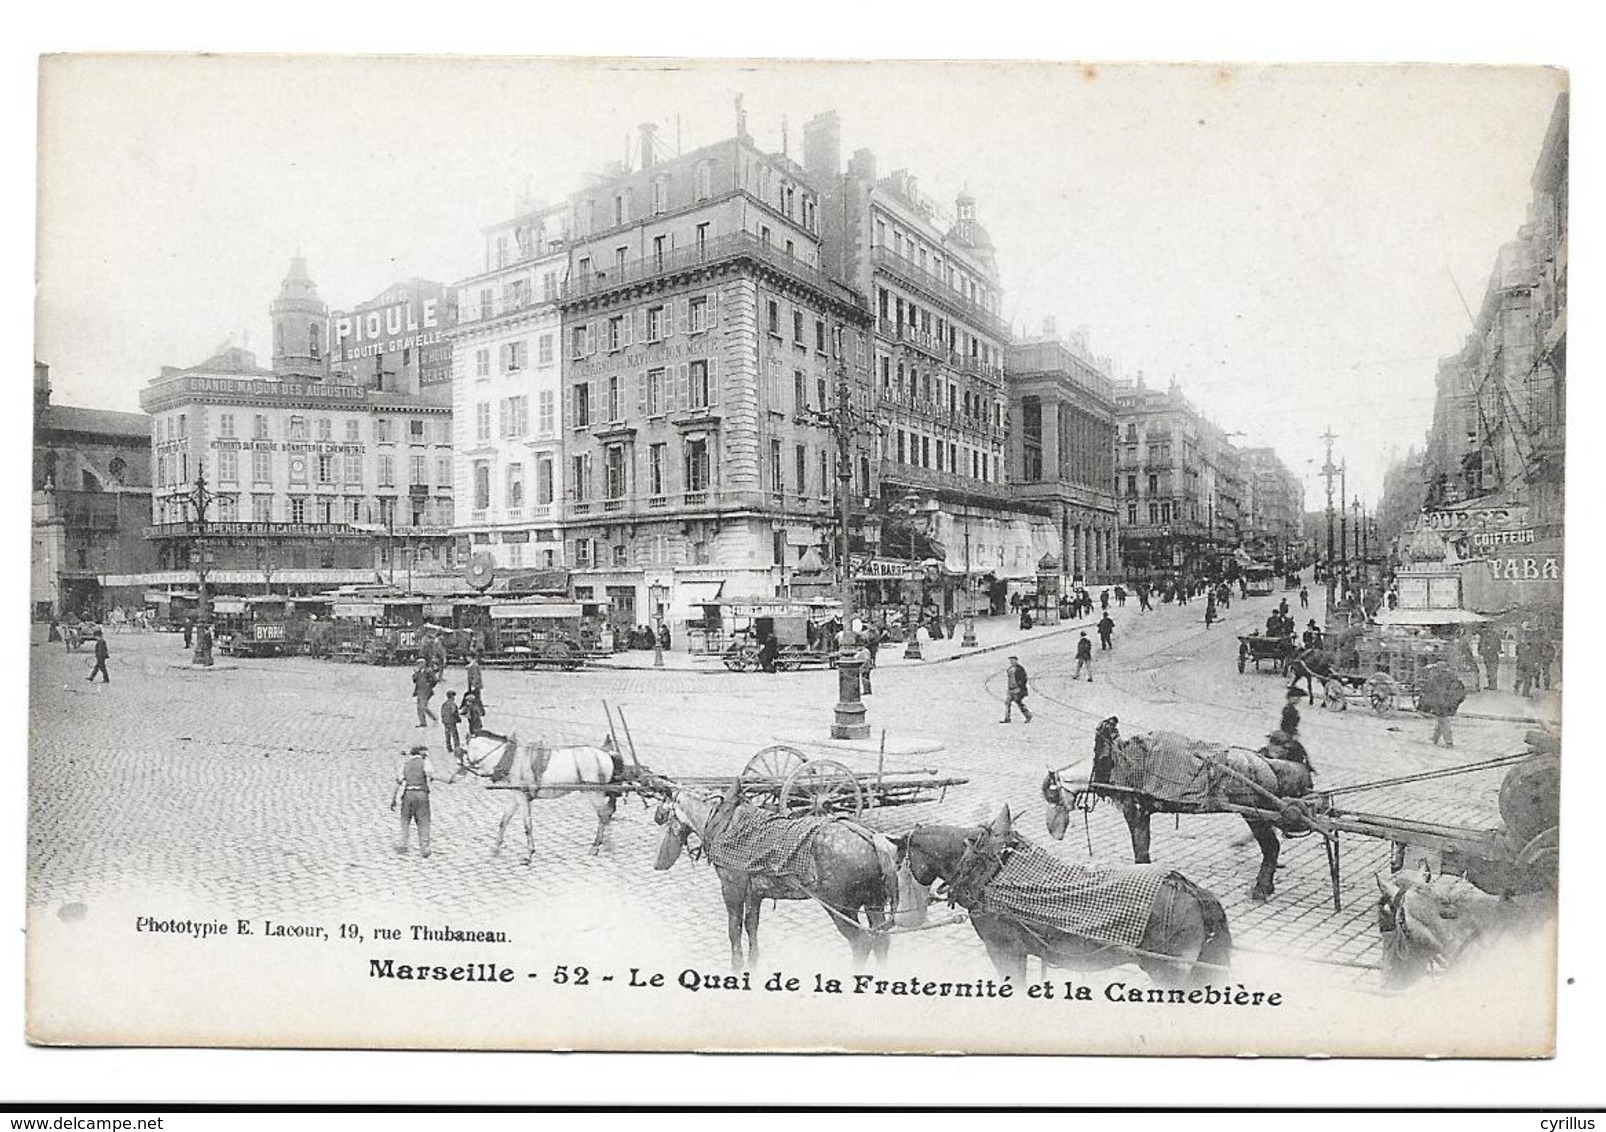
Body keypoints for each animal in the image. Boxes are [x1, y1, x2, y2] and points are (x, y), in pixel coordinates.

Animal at [652, 786, 905, 969]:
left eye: (664, 809)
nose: (656, 817)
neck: (723, 824)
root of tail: (871, 838)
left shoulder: (731, 888)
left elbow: (734, 928)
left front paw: (736, 966)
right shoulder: (754, 892)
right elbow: (751, 925)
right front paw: (753, 964)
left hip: (840, 907)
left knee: (861, 943)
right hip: (873, 903)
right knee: (881, 940)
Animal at [1053, 716, 1316, 899]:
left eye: (1052, 793)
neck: (1117, 760)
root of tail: (1268, 764)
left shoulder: (1133, 809)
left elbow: (1140, 849)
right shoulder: (1143, 812)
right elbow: (1143, 848)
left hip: (1254, 815)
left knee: (1271, 847)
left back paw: (1261, 889)